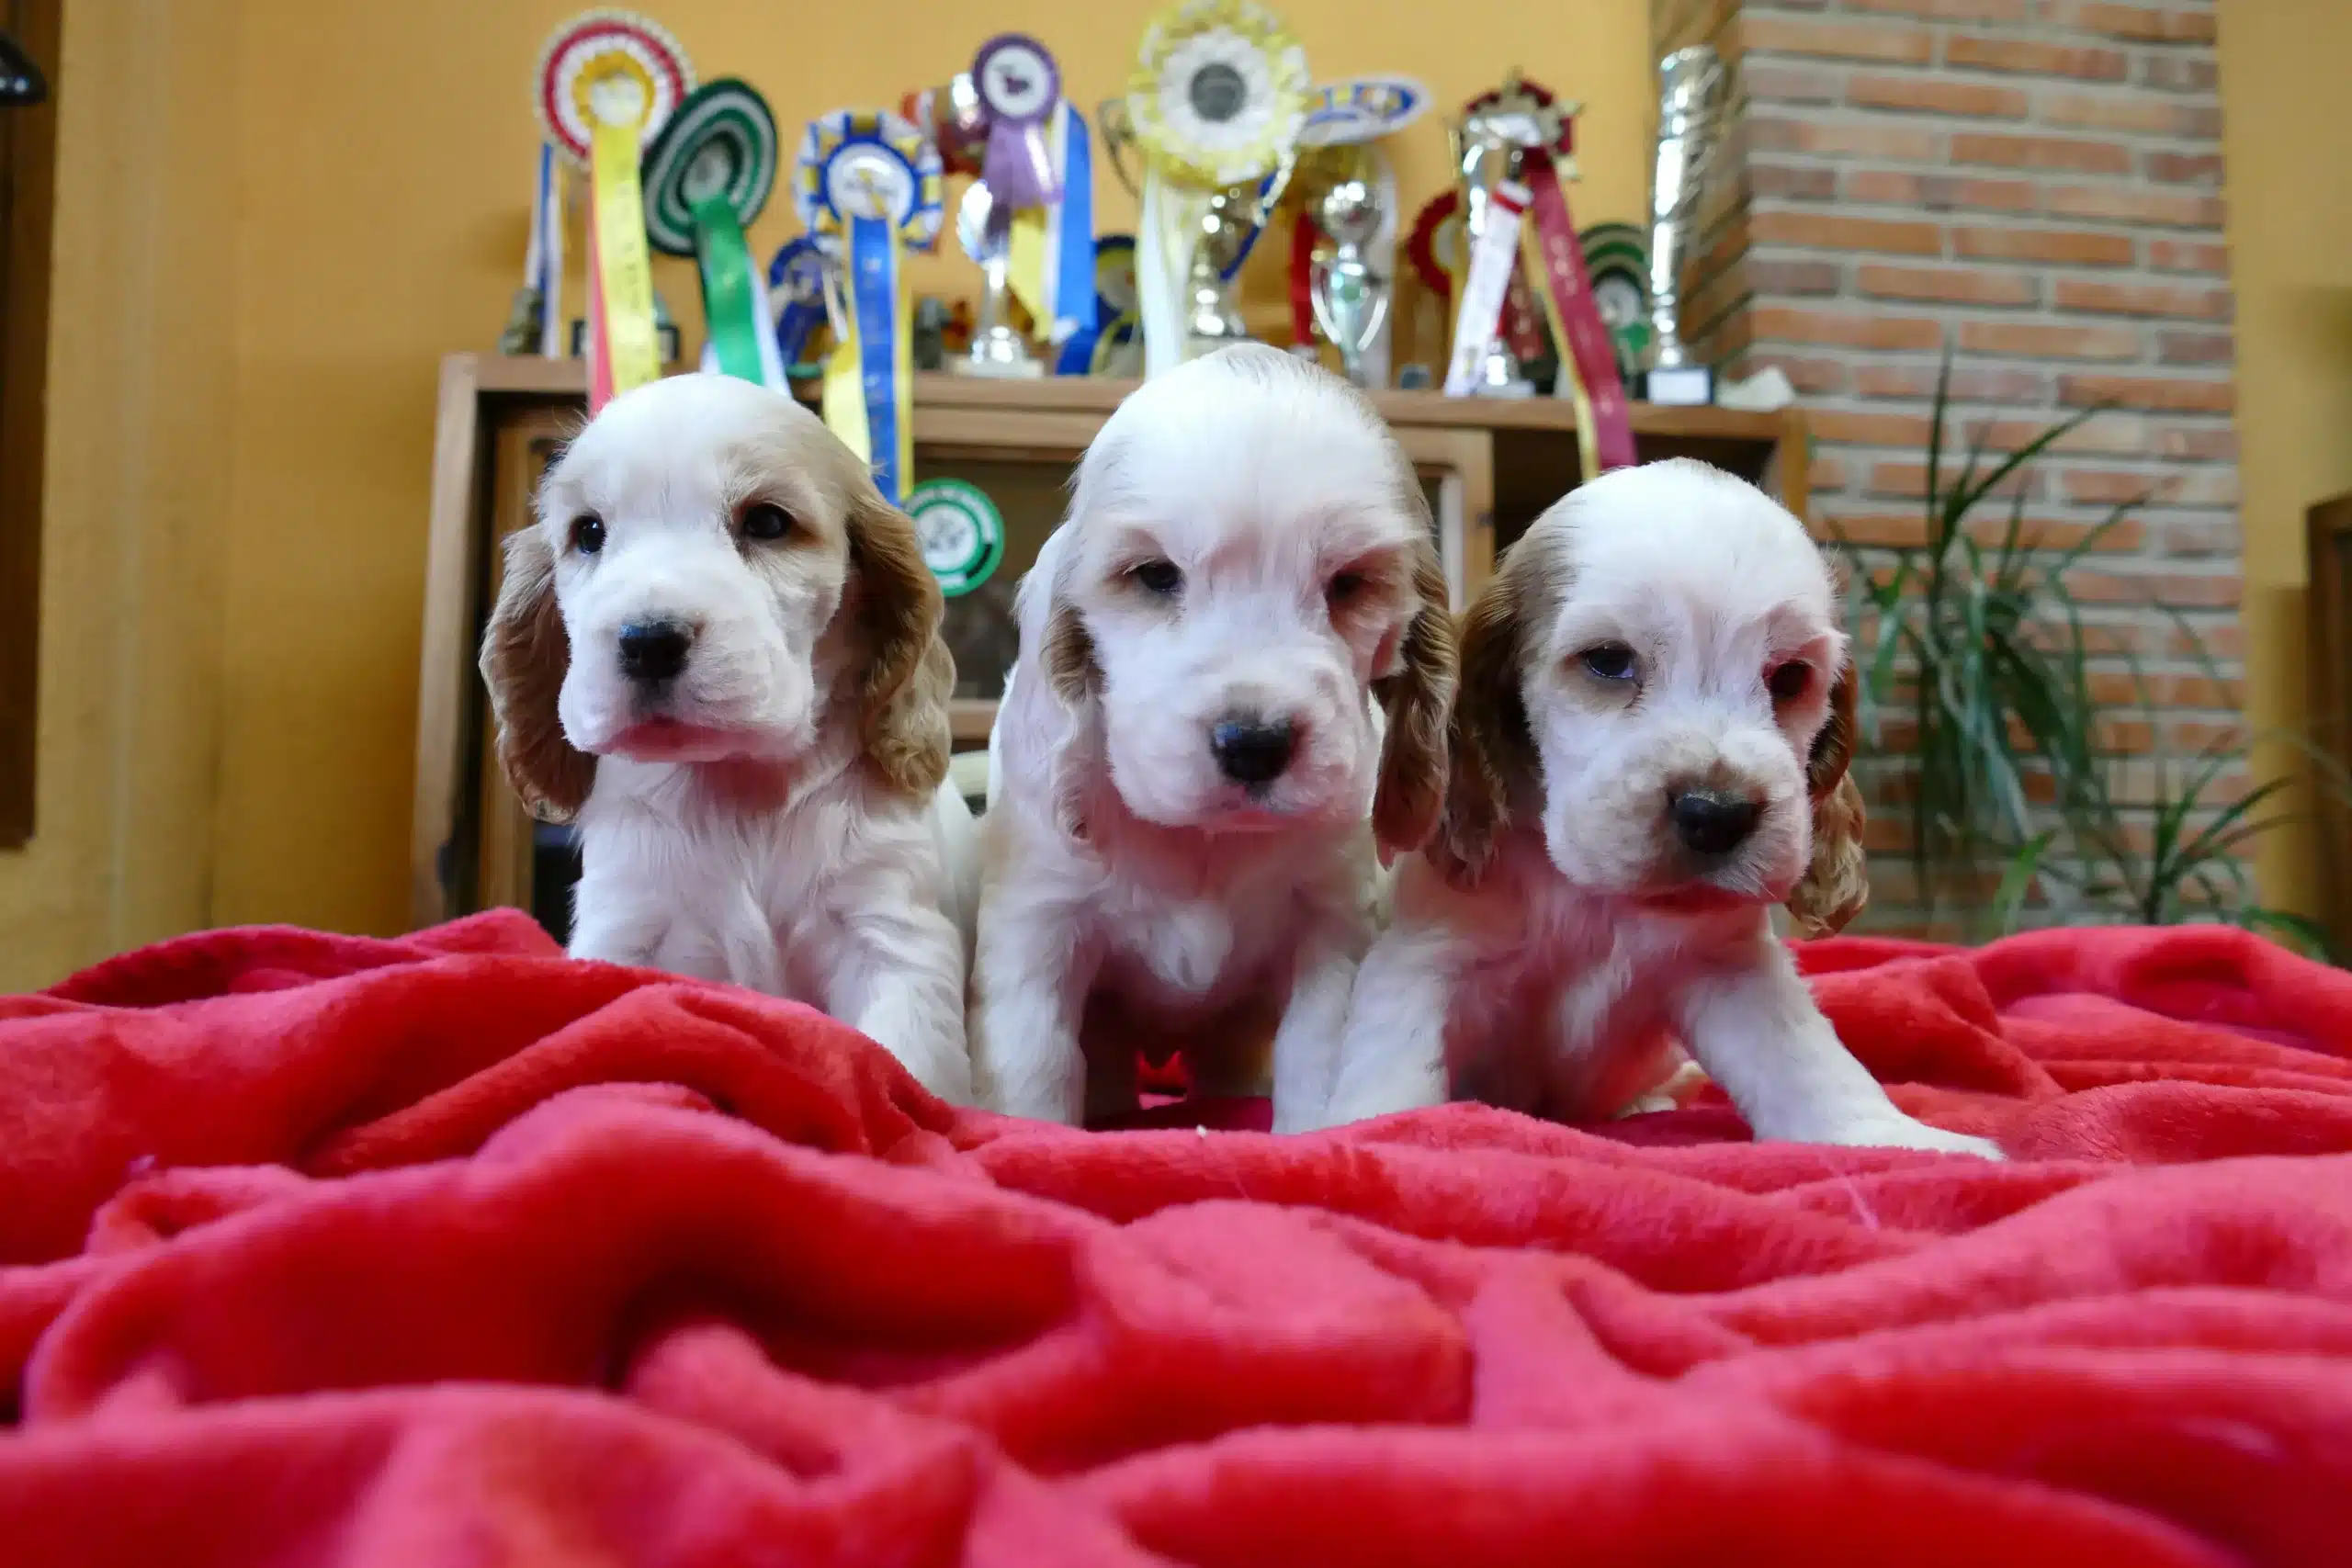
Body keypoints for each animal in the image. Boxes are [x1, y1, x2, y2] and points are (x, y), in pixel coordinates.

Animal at [479, 373, 977, 1104]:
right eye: (588, 532)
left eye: (767, 521)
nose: (647, 640)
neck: (738, 788)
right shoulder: (625, 927)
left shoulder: (892, 938)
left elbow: (904, 1067)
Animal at [971, 344, 1456, 1128]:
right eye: (1154, 574)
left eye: (1348, 583)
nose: (1255, 742)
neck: (1206, 841)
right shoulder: (1036, 917)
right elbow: (1033, 1055)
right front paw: (1026, 1133)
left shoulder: (1333, 922)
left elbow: (1317, 1045)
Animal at [1310, 459, 2000, 1157]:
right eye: (1609, 660)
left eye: (1790, 678)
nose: (1717, 813)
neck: (1596, 900)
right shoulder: (1427, 956)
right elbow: (1394, 1065)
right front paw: (1383, 1133)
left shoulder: (1730, 969)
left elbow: (1807, 1063)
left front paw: (1898, 1141)